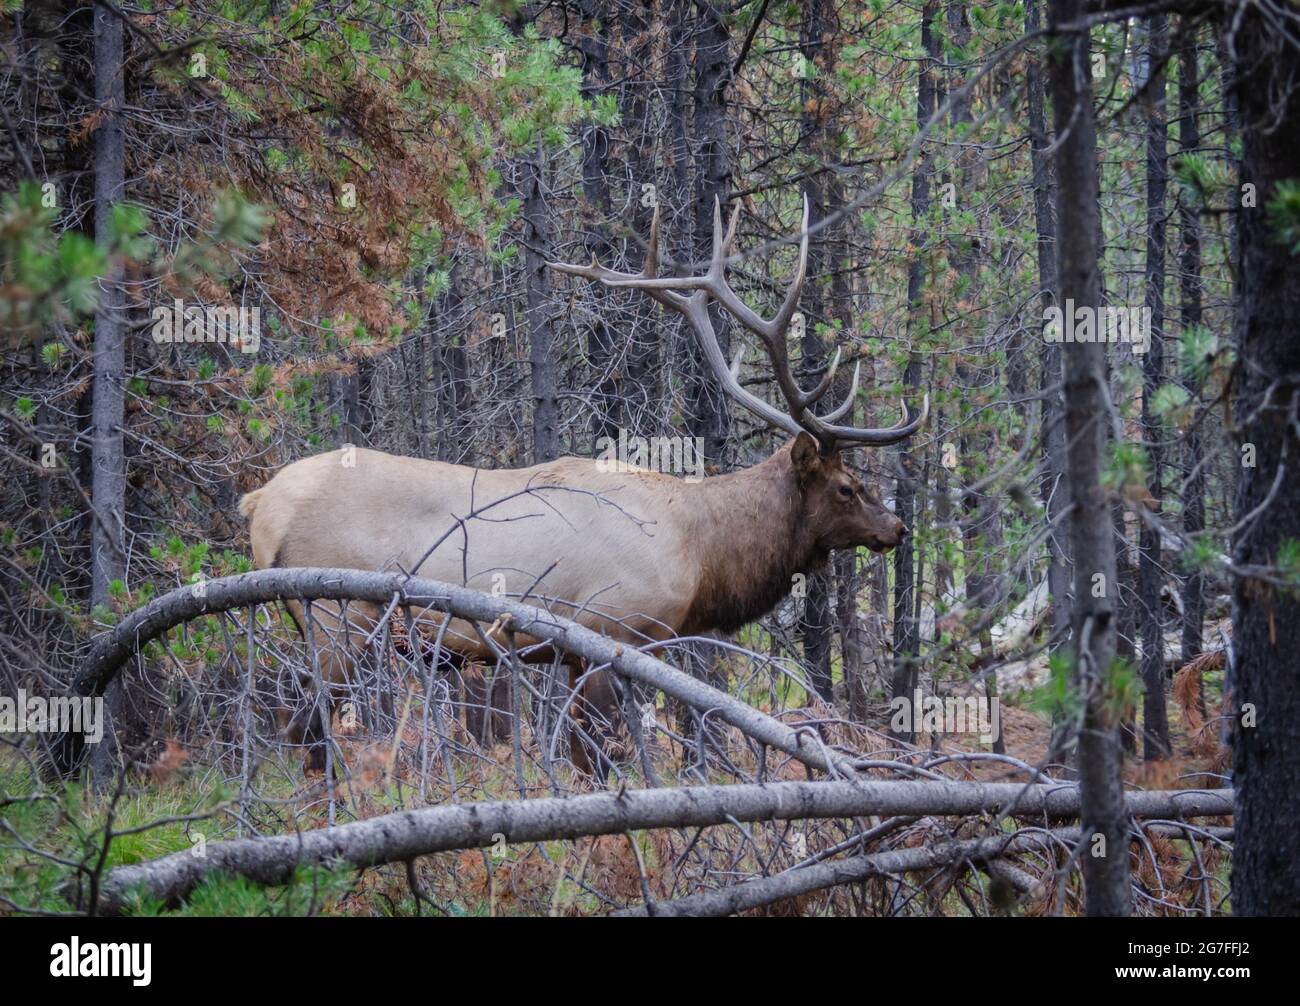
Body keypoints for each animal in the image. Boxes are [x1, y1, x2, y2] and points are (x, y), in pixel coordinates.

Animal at [241, 201, 925, 774]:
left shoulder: (572, 654)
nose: (897, 527)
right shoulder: (611, 629)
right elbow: (596, 758)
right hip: (335, 615)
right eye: (847, 486)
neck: (698, 553)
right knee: (303, 728)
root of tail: (259, 503)